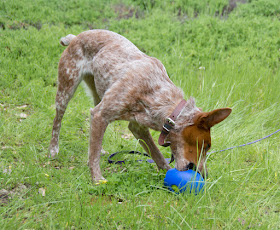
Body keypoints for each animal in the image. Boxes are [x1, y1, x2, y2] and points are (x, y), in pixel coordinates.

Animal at [48, 29, 232, 182]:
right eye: (206, 146)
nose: (204, 175)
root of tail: (75, 37)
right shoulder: (101, 114)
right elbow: (93, 158)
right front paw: (97, 179)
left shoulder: (138, 127)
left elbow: (156, 154)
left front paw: (165, 173)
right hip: (66, 88)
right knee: (58, 121)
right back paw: (53, 150)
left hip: (98, 94)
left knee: (94, 137)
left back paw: (99, 149)